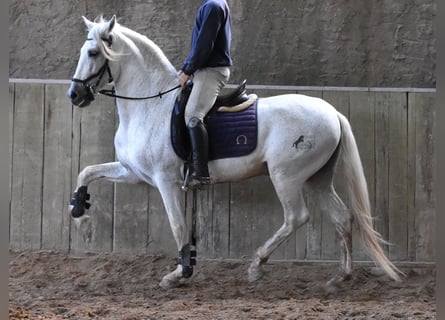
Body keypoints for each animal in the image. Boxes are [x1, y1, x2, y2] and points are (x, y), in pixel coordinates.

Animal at [67, 15, 402, 290]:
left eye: (93, 53)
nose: (75, 95)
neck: (150, 103)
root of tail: (332, 112)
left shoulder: (165, 181)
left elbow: (178, 226)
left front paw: (179, 274)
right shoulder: (133, 172)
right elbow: (87, 171)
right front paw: (79, 211)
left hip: (287, 177)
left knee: (296, 217)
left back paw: (257, 266)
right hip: (317, 178)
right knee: (342, 217)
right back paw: (339, 278)